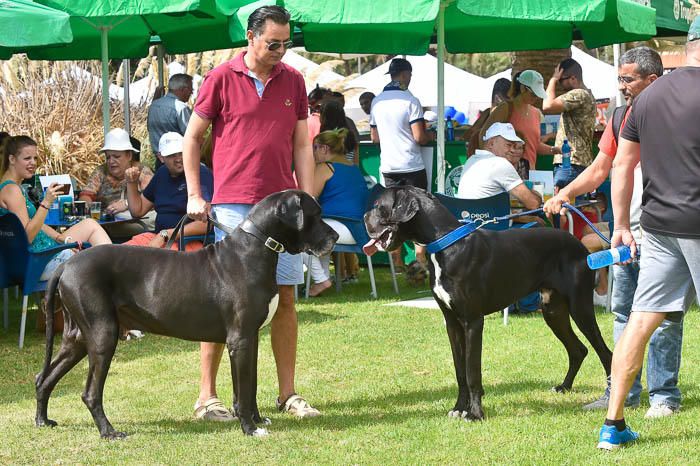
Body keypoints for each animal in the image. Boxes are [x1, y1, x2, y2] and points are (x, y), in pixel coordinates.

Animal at [364, 187, 608, 422]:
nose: (365, 217)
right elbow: (460, 371)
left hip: (580, 308)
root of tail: (579, 244)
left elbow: (472, 371)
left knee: (605, 352)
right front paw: (459, 408)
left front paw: (475, 413)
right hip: (553, 311)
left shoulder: (473, 321)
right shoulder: (452, 323)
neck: (445, 243)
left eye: (378, 205)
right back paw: (564, 386)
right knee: (578, 350)